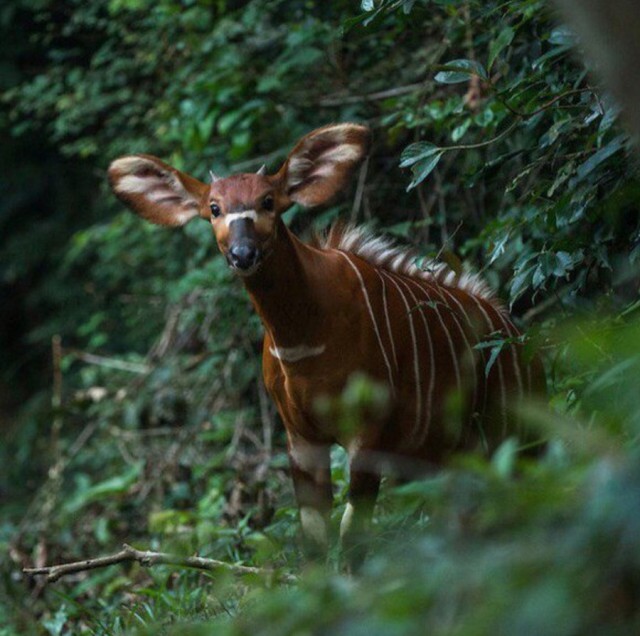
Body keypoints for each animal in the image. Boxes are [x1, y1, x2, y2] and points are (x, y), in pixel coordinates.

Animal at [109, 123, 544, 568]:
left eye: (268, 201)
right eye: (213, 208)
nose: (243, 253)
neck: (304, 341)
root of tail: (515, 331)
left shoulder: (369, 431)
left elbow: (353, 534)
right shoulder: (301, 437)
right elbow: (315, 537)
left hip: (517, 434)